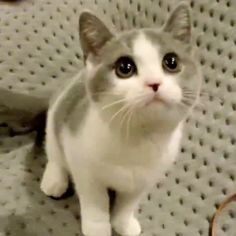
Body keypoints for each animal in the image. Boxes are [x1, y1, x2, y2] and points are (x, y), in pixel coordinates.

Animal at [40, 3, 201, 236]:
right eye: (124, 67)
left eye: (171, 62)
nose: (154, 83)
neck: (137, 138)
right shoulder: (82, 163)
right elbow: (95, 200)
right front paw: (98, 228)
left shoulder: (146, 178)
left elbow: (128, 202)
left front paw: (123, 223)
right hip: (57, 114)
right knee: (53, 150)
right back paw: (54, 180)